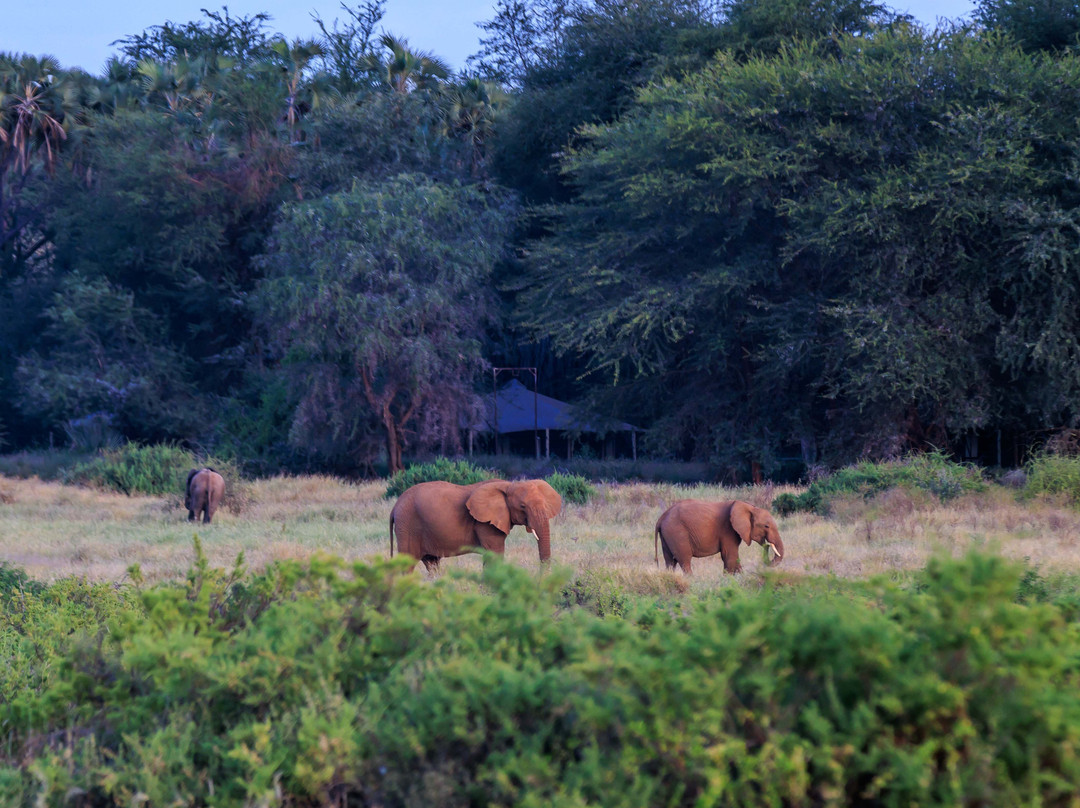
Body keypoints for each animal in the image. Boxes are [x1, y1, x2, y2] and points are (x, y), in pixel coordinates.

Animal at [389, 479, 563, 572]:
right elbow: (495, 554)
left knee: (432, 563)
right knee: (407, 564)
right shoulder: (485, 523)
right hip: (407, 525)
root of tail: (395, 506)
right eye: (522, 506)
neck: (508, 485)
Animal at [655, 499, 784, 575]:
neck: (750, 507)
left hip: (667, 534)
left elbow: (732, 558)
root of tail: (662, 517)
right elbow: (730, 556)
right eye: (766, 526)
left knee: (670, 561)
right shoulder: (727, 530)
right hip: (677, 533)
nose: (767, 544)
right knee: (684, 560)